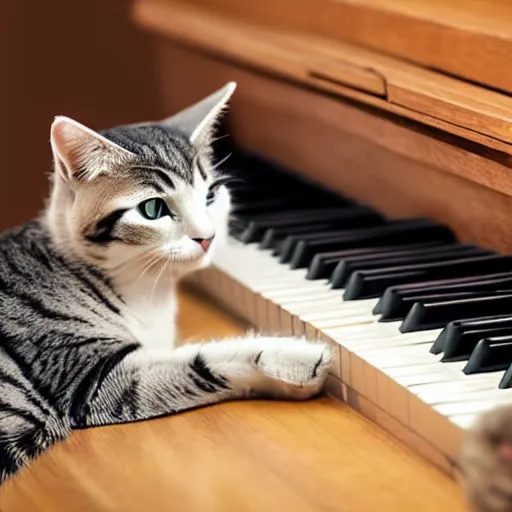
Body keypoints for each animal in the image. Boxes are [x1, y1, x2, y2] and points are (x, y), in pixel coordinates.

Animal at [0, 80, 332, 484]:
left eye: (210, 195)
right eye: (153, 209)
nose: (207, 237)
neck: (145, 288)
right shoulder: (86, 375)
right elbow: (199, 364)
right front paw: (293, 359)